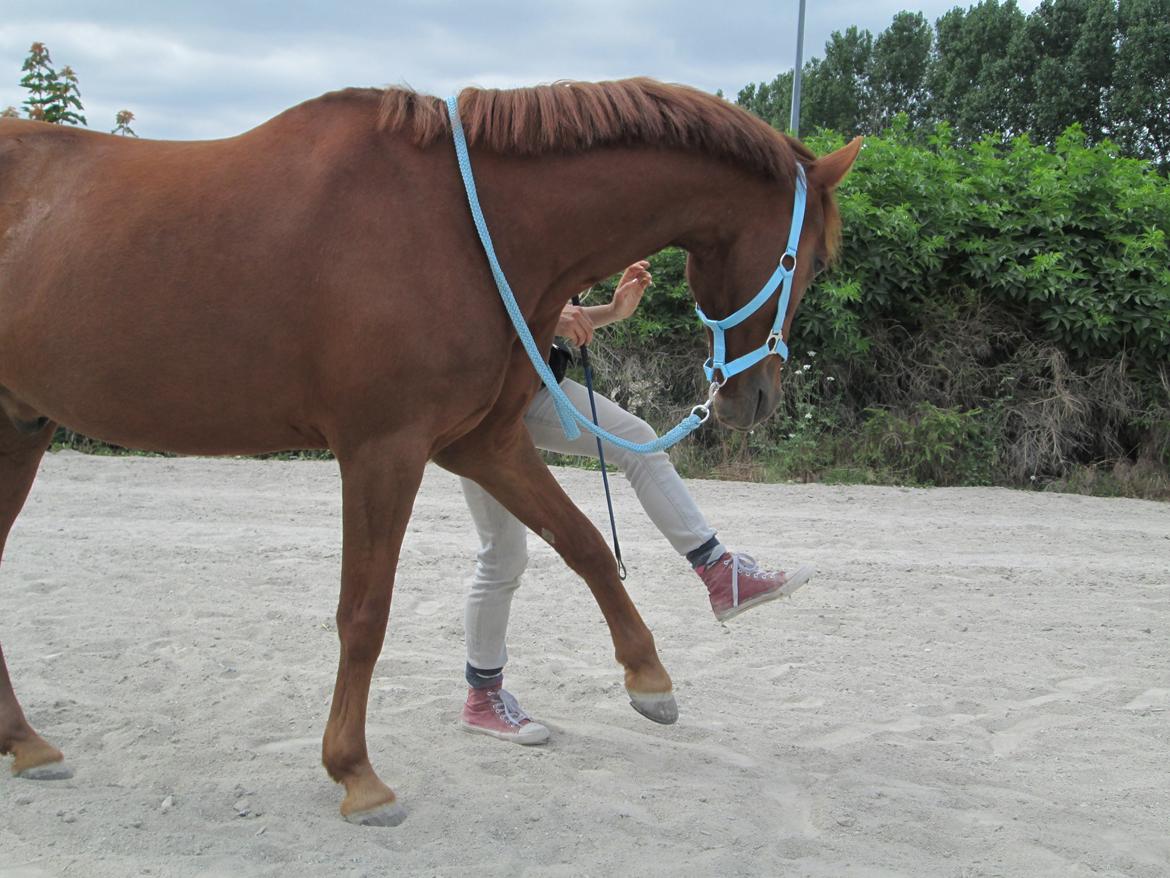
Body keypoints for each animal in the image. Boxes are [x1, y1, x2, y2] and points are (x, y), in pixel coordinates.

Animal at [0, 79, 861, 828]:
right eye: (815, 262)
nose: (753, 401)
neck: (459, 223)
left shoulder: (480, 442)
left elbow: (583, 543)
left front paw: (648, 680)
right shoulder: (384, 450)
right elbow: (364, 613)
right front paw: (357, 775)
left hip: (23, 427)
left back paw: (28, 744)